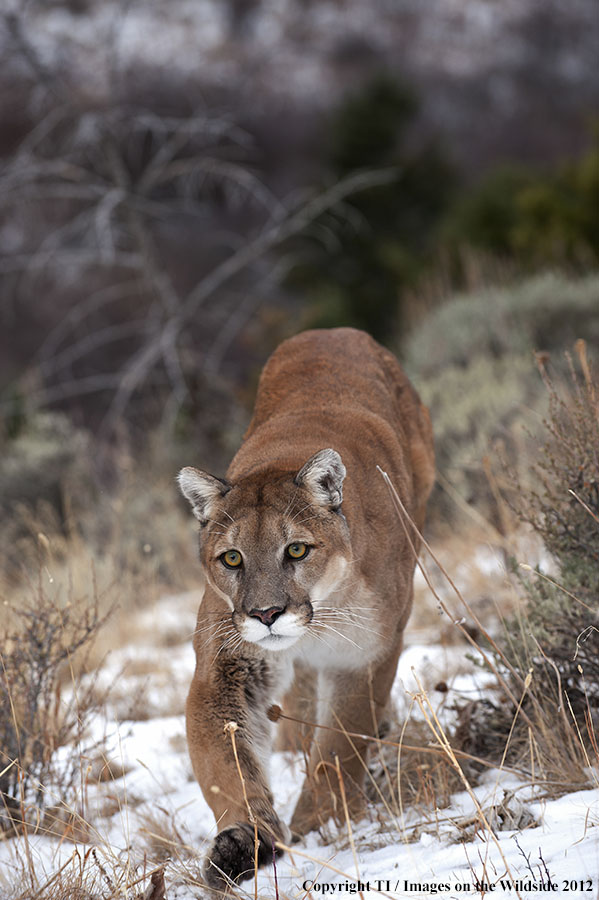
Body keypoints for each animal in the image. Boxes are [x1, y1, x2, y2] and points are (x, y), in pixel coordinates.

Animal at [178, 326, 436, 888]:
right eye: (232, 558)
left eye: (296, 550)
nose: (266, 615)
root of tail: (333, 330)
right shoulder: (224, 664)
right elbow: (224, 762)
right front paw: (246, 840)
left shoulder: (365, 655)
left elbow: (339, 748)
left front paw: (320, 824)